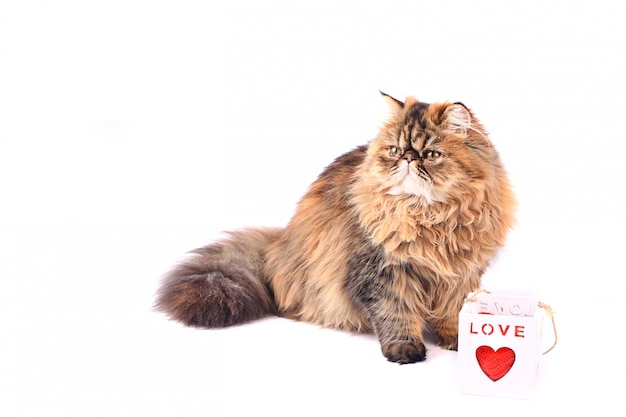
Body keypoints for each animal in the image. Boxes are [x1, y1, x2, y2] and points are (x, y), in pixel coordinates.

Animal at [154, 92, 516, 362]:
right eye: (395, 151)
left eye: (431, 154)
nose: (408, 159)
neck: (430, 219)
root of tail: (278, 244)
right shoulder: (380, 271)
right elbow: (396, 313)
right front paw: (405, 349)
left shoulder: (460, 275)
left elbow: (452, 312)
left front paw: (458, 339)